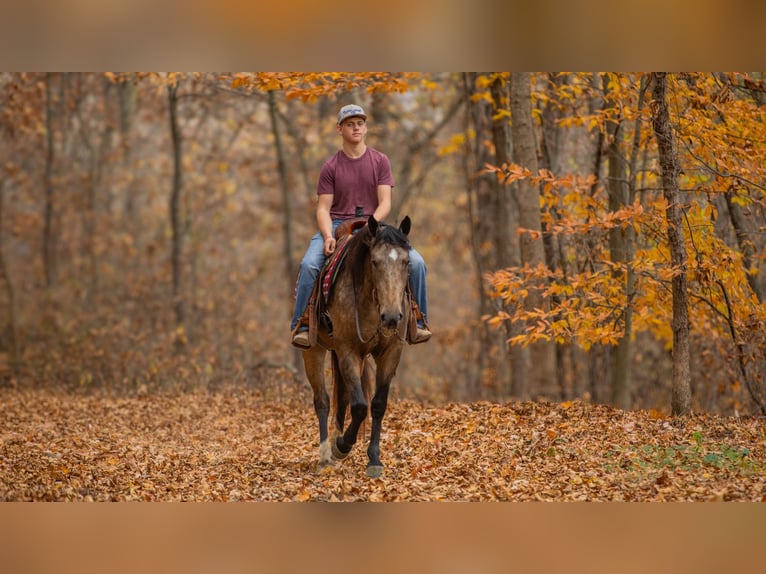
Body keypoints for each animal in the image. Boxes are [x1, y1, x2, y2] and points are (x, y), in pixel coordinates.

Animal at [302, 214, 414, 480]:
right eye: (374, 262)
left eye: (407, 262)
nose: (392, 317)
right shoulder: (348, 351)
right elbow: (361, 406)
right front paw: (342, 446)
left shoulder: (391, 353)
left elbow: (377, 404)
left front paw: (374, 459)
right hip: (314, 350)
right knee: (322, 400)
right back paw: (326, 456)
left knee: (341, 398)